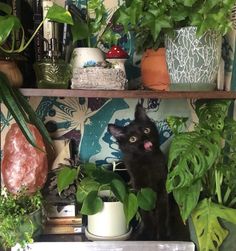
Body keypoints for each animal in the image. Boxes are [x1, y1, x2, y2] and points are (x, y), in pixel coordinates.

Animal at [108, 102, 189, 241]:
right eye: (133, 139)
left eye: (146, 130)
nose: (145, 139)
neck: (146, 162)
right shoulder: (140, 190)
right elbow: (146, 215)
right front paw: (147, 235)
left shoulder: (163, 188)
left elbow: (162, 214)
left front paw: (162, 237)